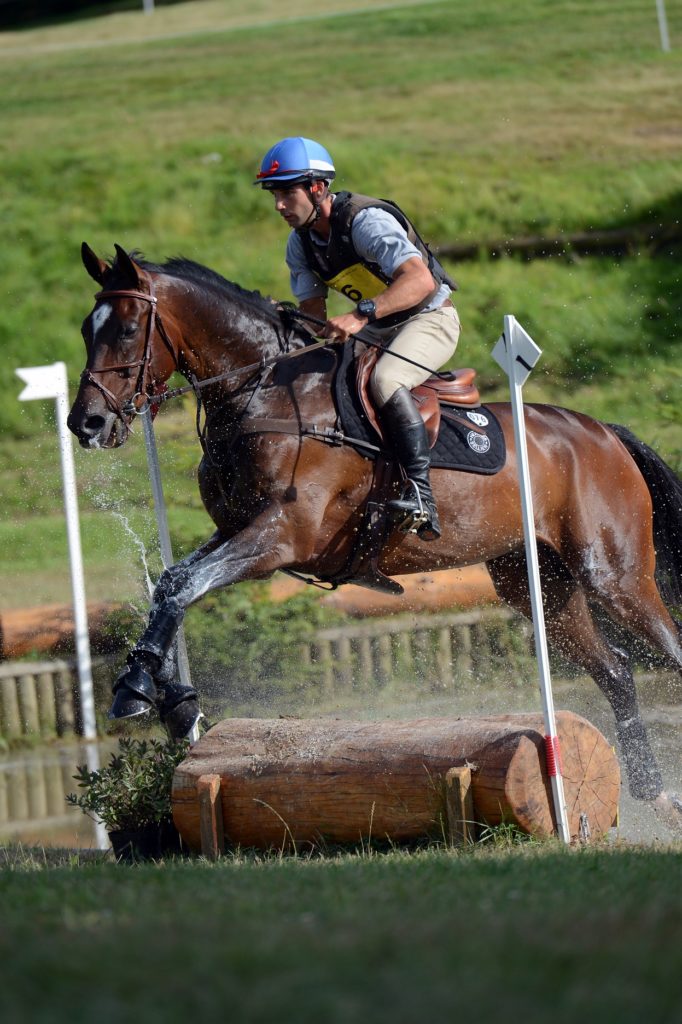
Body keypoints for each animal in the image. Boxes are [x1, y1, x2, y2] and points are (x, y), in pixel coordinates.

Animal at [67, 243, 679, 827]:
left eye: (126, 329)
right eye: (84, 330)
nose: (86, 424)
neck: (259, 392)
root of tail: (603, 433)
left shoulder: (281, 535)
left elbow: (181, 585)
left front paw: (138, 691)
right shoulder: (235, 531)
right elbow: (172, 582)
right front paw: (170, 701)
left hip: (614, 576)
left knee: (662, 646)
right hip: (536, 585)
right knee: (615, 671)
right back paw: (652, 790)